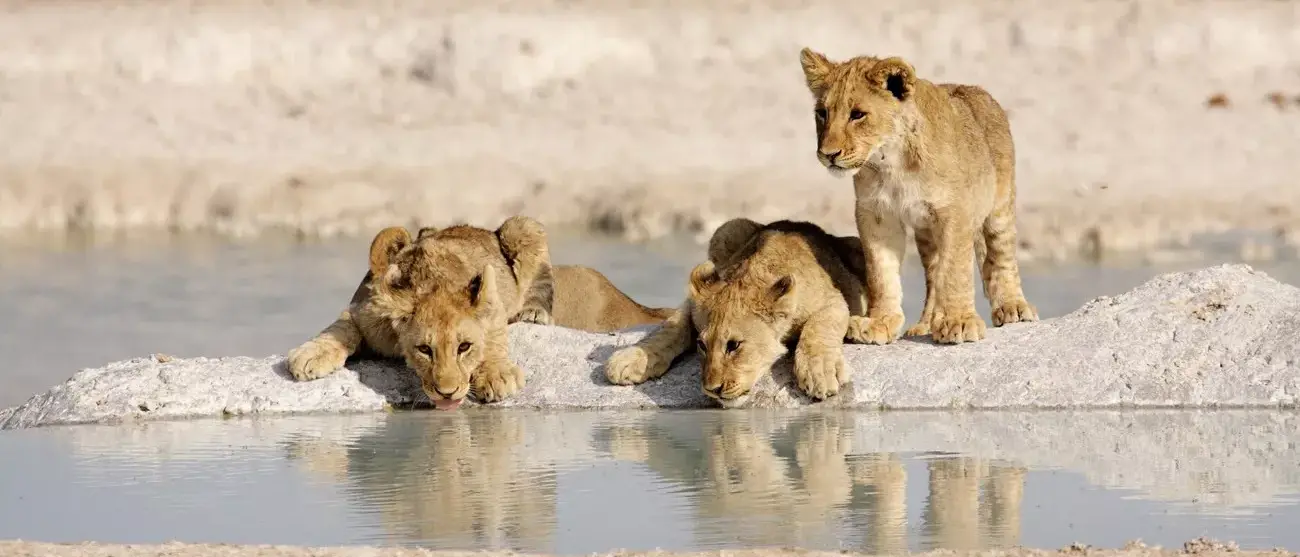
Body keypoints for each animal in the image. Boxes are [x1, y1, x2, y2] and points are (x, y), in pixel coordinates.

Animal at [286, 217, 671, 409]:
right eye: (424, 350)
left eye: (464, 347)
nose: (447, 392)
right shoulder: (362, 311)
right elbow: (338, 329)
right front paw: (310, 355)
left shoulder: (492, 300)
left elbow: (495, 335)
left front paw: (497, 375)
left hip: (522, 226)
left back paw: (533, 313)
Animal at [602, 218, 869, 407]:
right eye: (702, 345)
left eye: (734, 345)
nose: (713, 389)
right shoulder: (695, 301)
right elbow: (671, 327)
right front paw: (631, 359)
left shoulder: (833, 300)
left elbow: (820, 327)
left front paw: (818, 372)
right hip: (725, 230)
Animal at [797, 47, 1038, 345]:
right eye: (822, 113)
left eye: (858, 114)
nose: (828, 154)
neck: (892, 162)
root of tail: (977, 90)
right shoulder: (876, 215)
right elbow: (881, 273)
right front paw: (879, 323)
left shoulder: (955, 211)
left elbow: (955, 269)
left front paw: (959, 321)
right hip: (926, 232)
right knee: (934, 275)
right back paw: (926, 324)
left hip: (999, 208)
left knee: (1001, 255)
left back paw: (1012, 306)